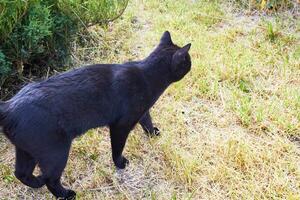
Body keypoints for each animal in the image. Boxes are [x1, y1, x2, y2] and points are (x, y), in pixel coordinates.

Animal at [0, 30, 192, 198]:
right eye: (188, 60)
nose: (192, 65)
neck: (147, 75)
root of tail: (8, 107)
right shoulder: (120, 125)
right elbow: (117, 147)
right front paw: (120, 163)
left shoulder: (141, 111)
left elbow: (147, 121)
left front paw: (153, 133)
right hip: (55, 152)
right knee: (50, 179)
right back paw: (66, 194)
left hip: (27, 150)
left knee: (21, 173)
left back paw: (36, 182)